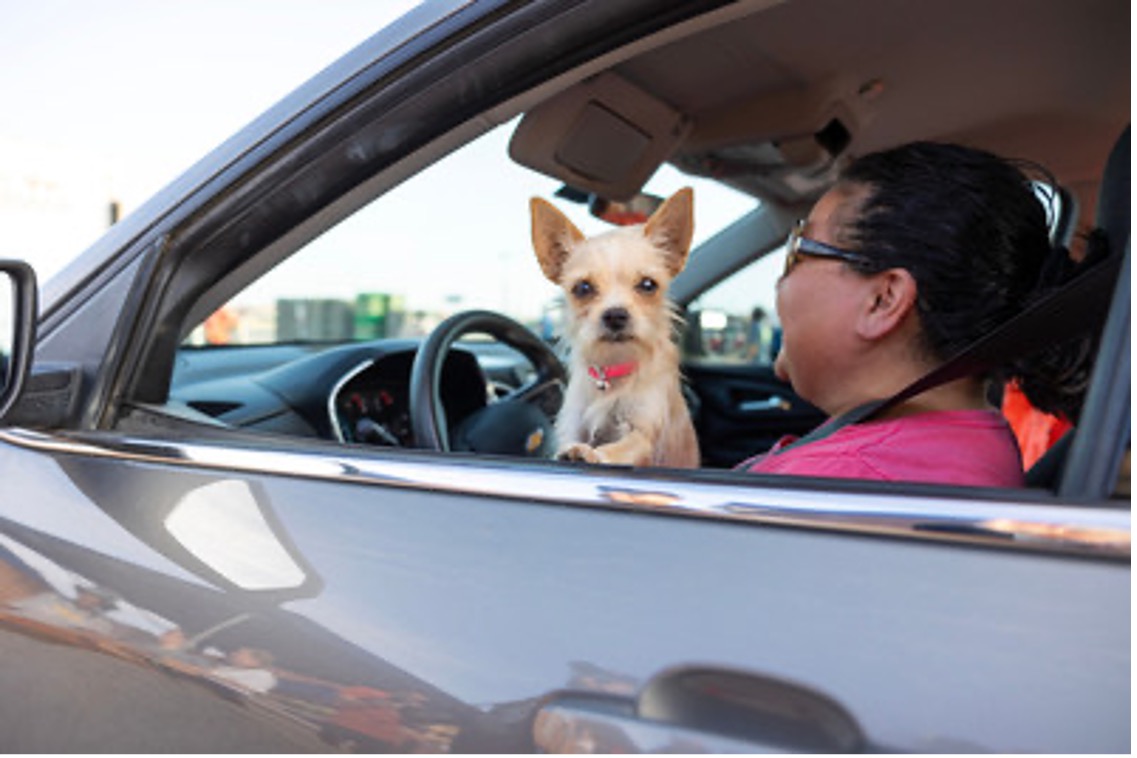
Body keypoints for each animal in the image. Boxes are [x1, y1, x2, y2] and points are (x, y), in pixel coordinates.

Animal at [527, 188, 695, 468]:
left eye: (648, 285)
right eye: (583, 288)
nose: (615, 315)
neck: (613, 370)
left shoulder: (642, 433)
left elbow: (620, 448)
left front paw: (592, 454)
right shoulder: (573, 424)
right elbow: (566, 442)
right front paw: (571, 451)